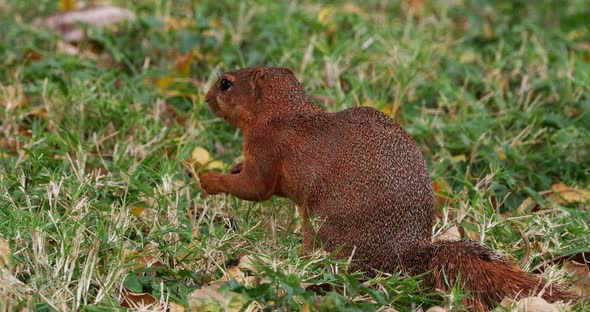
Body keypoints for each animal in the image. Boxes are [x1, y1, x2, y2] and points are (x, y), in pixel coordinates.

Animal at [200, 66, 580, 310]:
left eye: (226, 83)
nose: (205, 99)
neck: (281, 112)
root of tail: (402, 253)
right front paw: (230, 166)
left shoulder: (266, 146)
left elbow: (256, 188)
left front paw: (208, 178)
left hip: (324, 225)